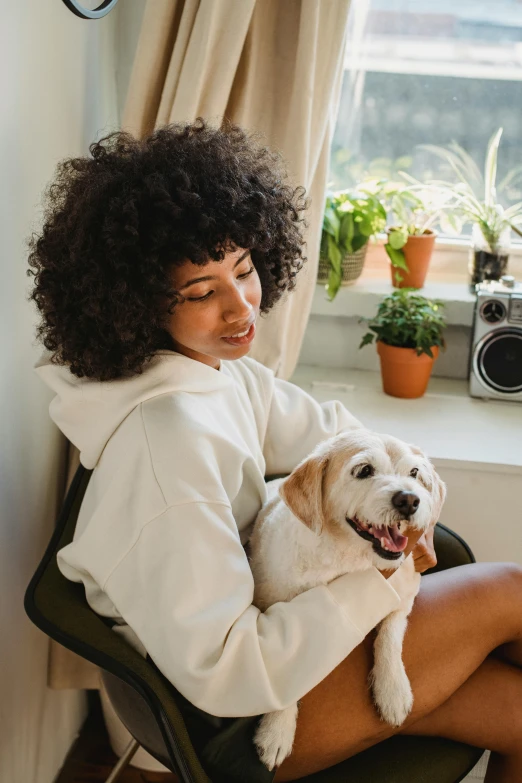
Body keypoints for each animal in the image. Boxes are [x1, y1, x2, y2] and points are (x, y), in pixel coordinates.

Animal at [246, 428, 444, 772]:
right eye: (364, 471)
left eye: (414, 473)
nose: (410, 499)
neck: (346, 559)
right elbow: (286, 672)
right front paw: (277, 730)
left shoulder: (404, 593)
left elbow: (390, 637)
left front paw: (393, 690)